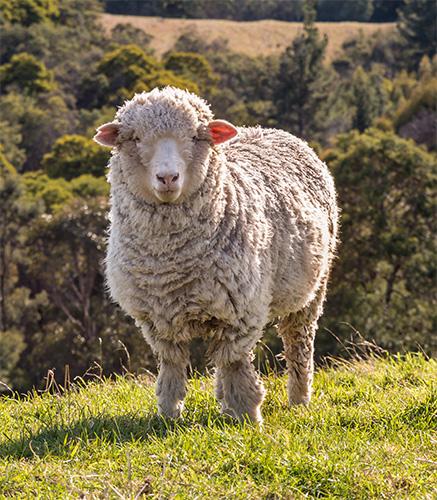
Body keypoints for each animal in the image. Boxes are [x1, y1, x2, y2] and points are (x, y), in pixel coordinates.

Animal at [93, 88, 338, 424]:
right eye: (134, 138)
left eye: (197, 136)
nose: (167, 178)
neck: (171, 262)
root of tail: (268, 130)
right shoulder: (157, 320)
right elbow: (171, 366)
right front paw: (169, 413)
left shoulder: (240, 313)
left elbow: (235, 364)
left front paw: (248, 416)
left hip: (312, 289)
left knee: (298, 344)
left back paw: (299, 400)